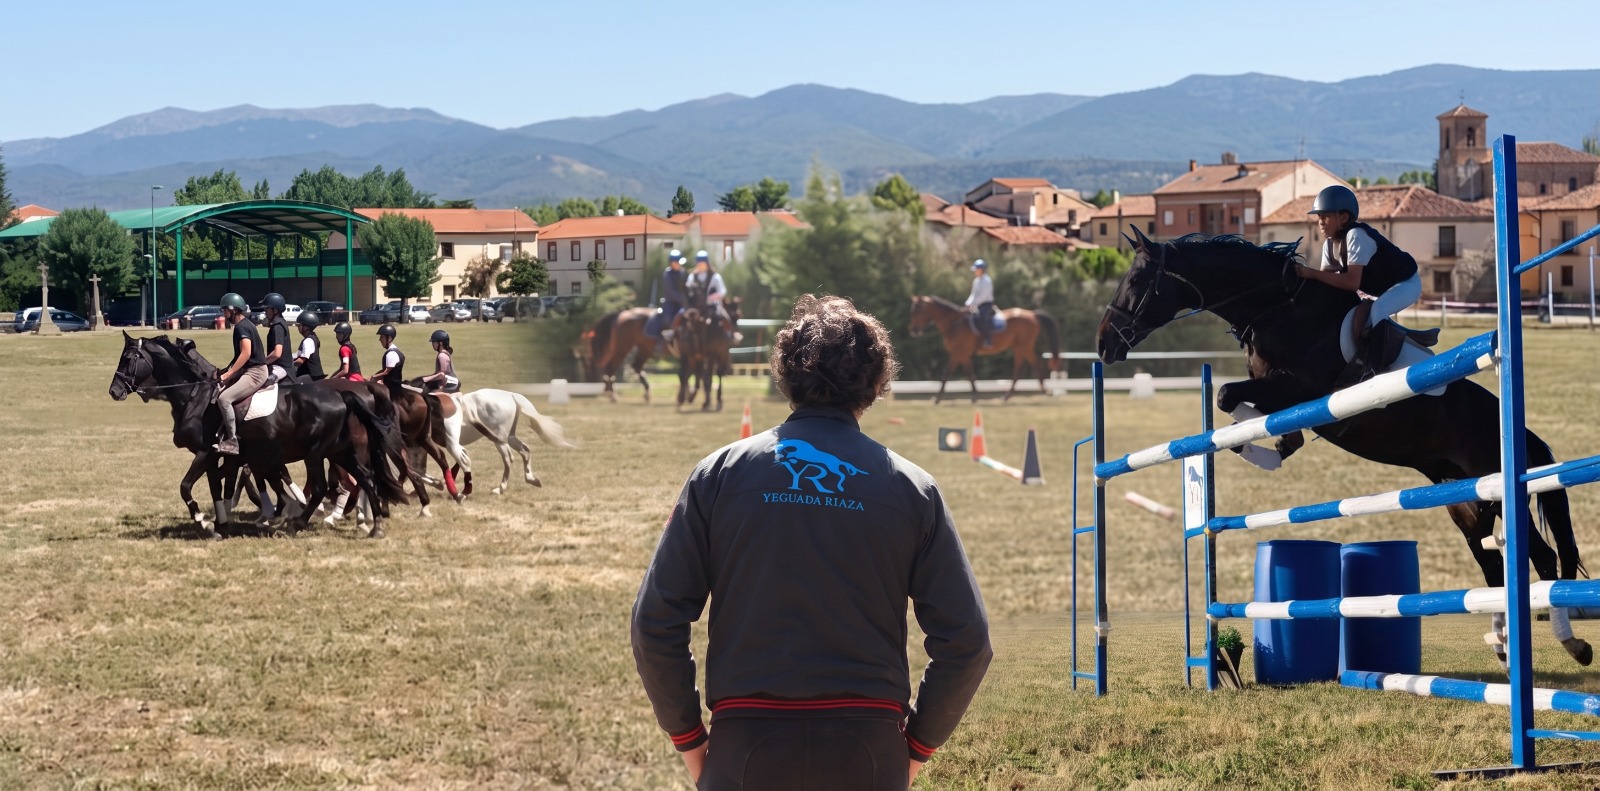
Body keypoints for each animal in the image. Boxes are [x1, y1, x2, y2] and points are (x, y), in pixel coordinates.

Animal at [907, 295, 1062, 403]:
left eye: (917, 311)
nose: (914, 331)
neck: (954, 324)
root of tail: (1032, 314)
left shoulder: (957, 353)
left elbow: (946, 374)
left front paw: (937, 398)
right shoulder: (963, 355)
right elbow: (970, 375)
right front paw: (975, 396)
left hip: (1024, 346)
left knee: (1032, 365)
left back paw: (1041, 391)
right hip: (1019, 348)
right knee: (1021, 368)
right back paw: (1009, 395)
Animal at [1096, 228, 1591, 667]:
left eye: (1136, 282)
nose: (1103, 344)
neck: (1275, 308)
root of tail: (1513, 425)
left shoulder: (1300, 388)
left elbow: (1227, 396)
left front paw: (1265, 449)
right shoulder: (1281, 392)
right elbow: (1238, 405)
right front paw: (1268, 449)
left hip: (1496, 483)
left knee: (1542, 557)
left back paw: (1571, 645)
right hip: (1465, 501)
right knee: (1491, 564)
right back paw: (1504, 650)